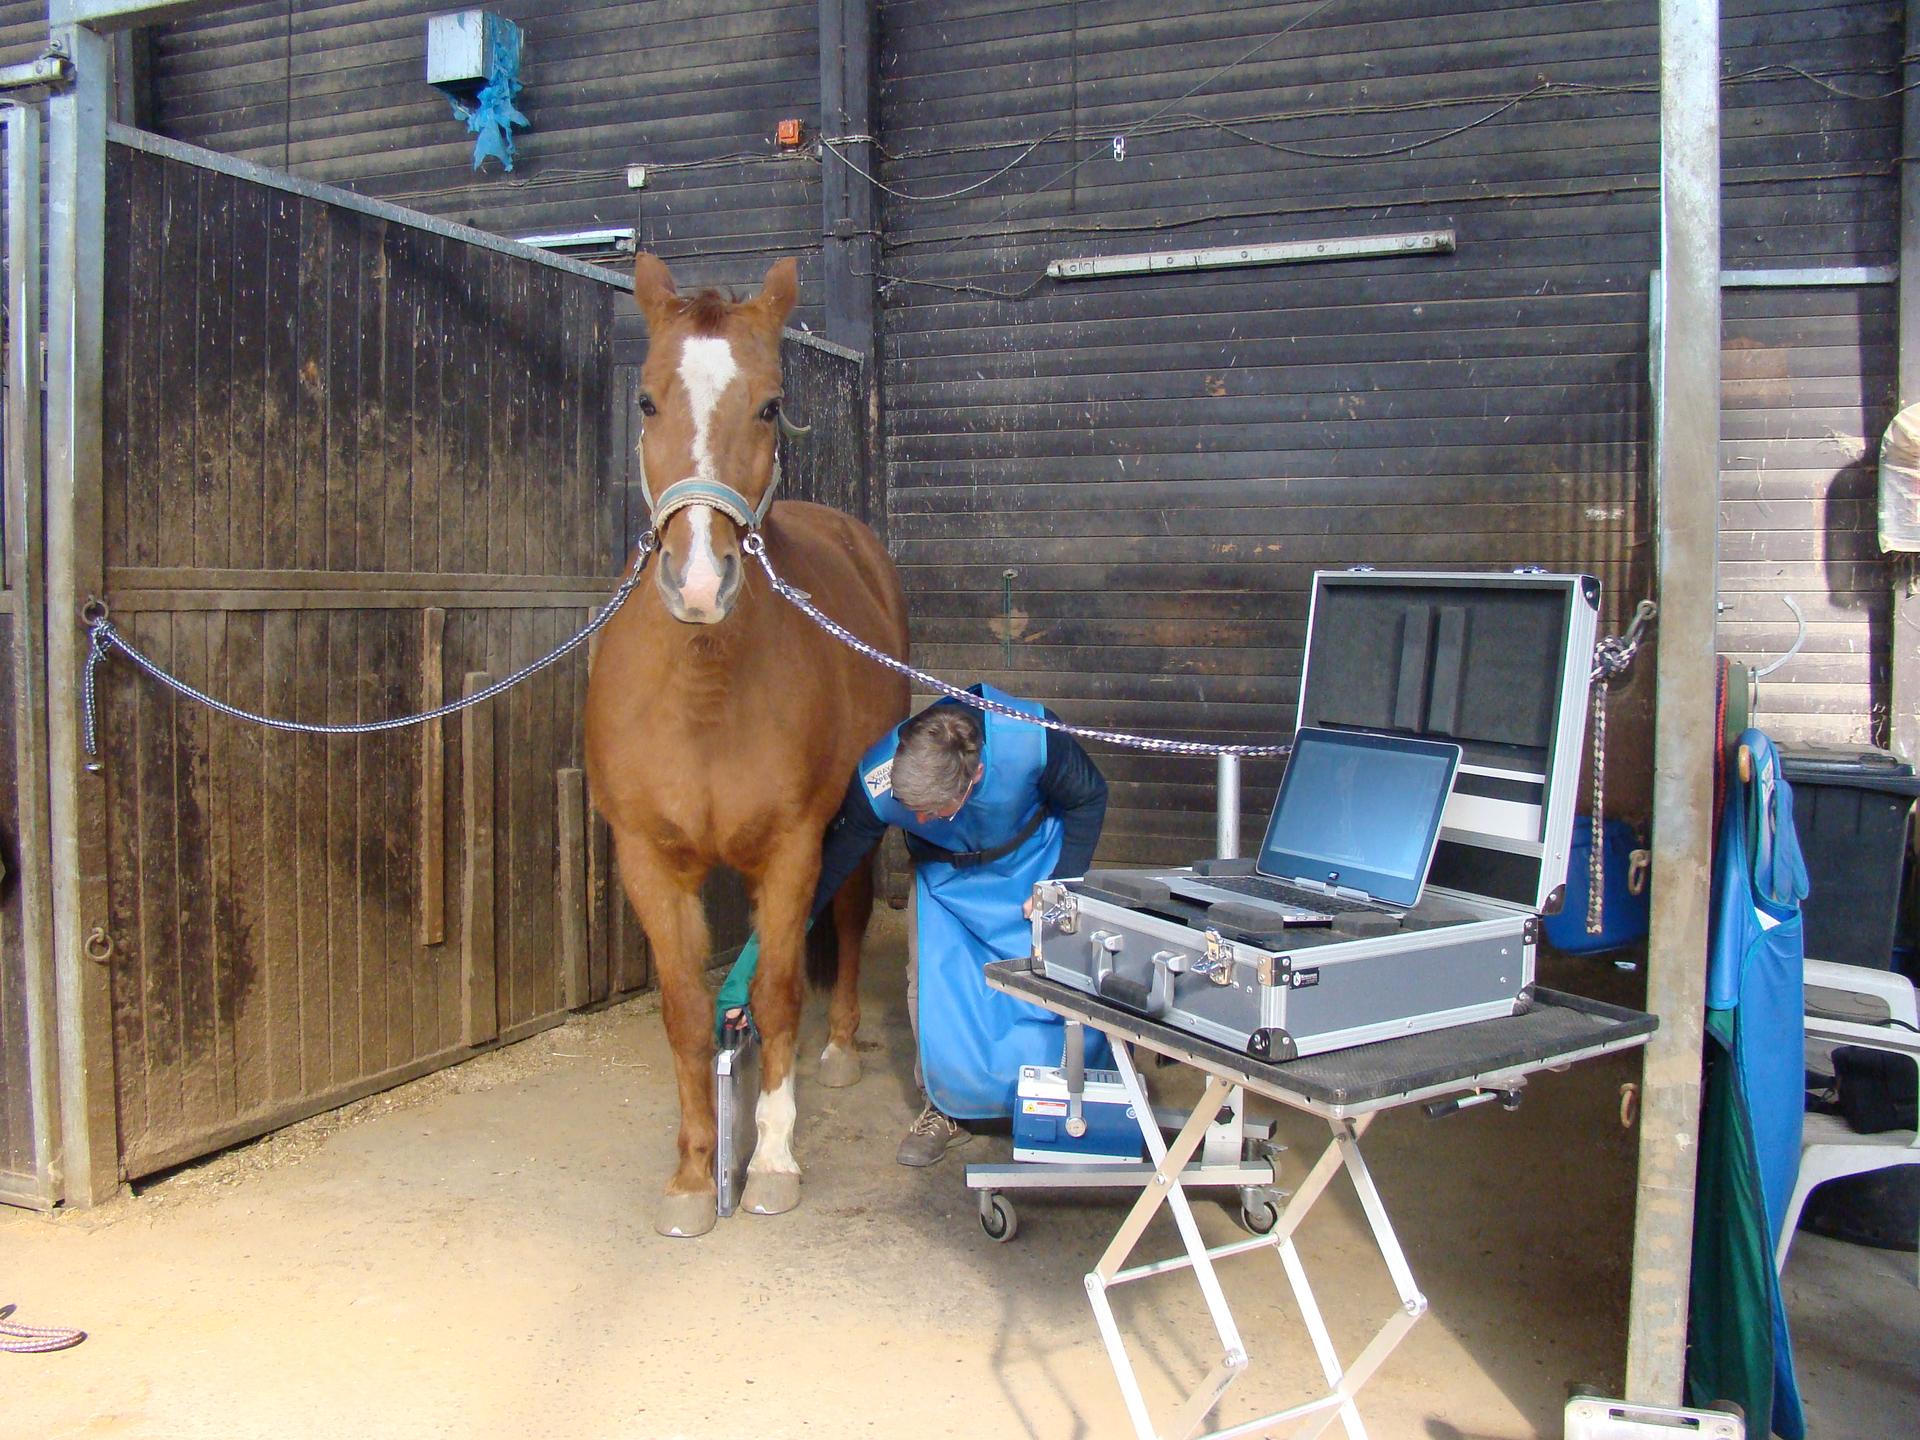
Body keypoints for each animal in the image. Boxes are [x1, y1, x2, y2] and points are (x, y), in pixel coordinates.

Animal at [584, 254, 910, 1238]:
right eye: (647, 400)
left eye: (770, 405)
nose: (698, 581)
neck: (704, 684)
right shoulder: (649, 861)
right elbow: (689, 1010)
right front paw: (696, 1175)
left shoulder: (798, 844)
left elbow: (774, 994)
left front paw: (770, 1160)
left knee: (846, 922)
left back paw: (835, 1050)